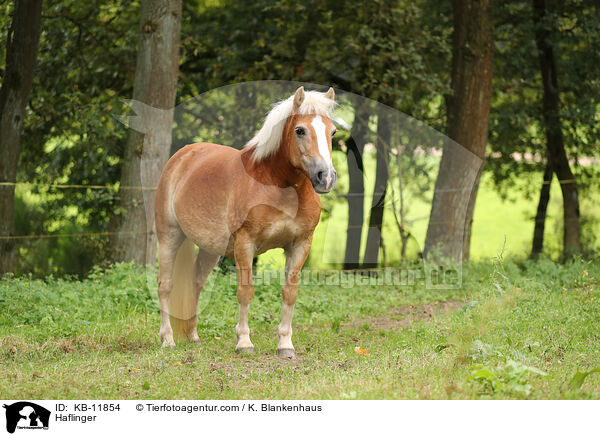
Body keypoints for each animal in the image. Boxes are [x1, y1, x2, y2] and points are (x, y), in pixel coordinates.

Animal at [154, 86, 338, 358]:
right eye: (300, 130)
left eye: (332, 131)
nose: (325, 177)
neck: (278, 186)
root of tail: (181, 157)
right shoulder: (245, 244)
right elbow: (245, 292)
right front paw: (244, 342)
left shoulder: (300, 244)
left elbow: (290, 293)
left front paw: (285, 344)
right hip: (169, 236)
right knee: (165, 286)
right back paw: (167, 339)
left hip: (210, 249)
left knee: (196, 284)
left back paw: (193, 336)